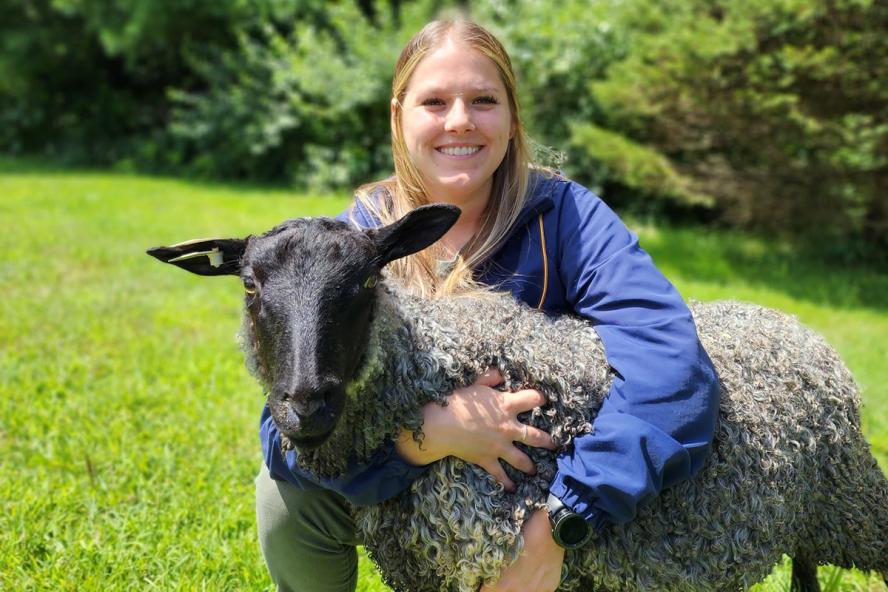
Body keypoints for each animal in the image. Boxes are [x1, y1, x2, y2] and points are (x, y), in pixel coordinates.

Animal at [151, 205, 888, 592]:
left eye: (364, 283)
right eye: (250, 286)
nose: (305, 406)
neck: (431, 368)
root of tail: (796, 327)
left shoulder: (492, 550)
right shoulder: (421, 566)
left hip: (852, 500)